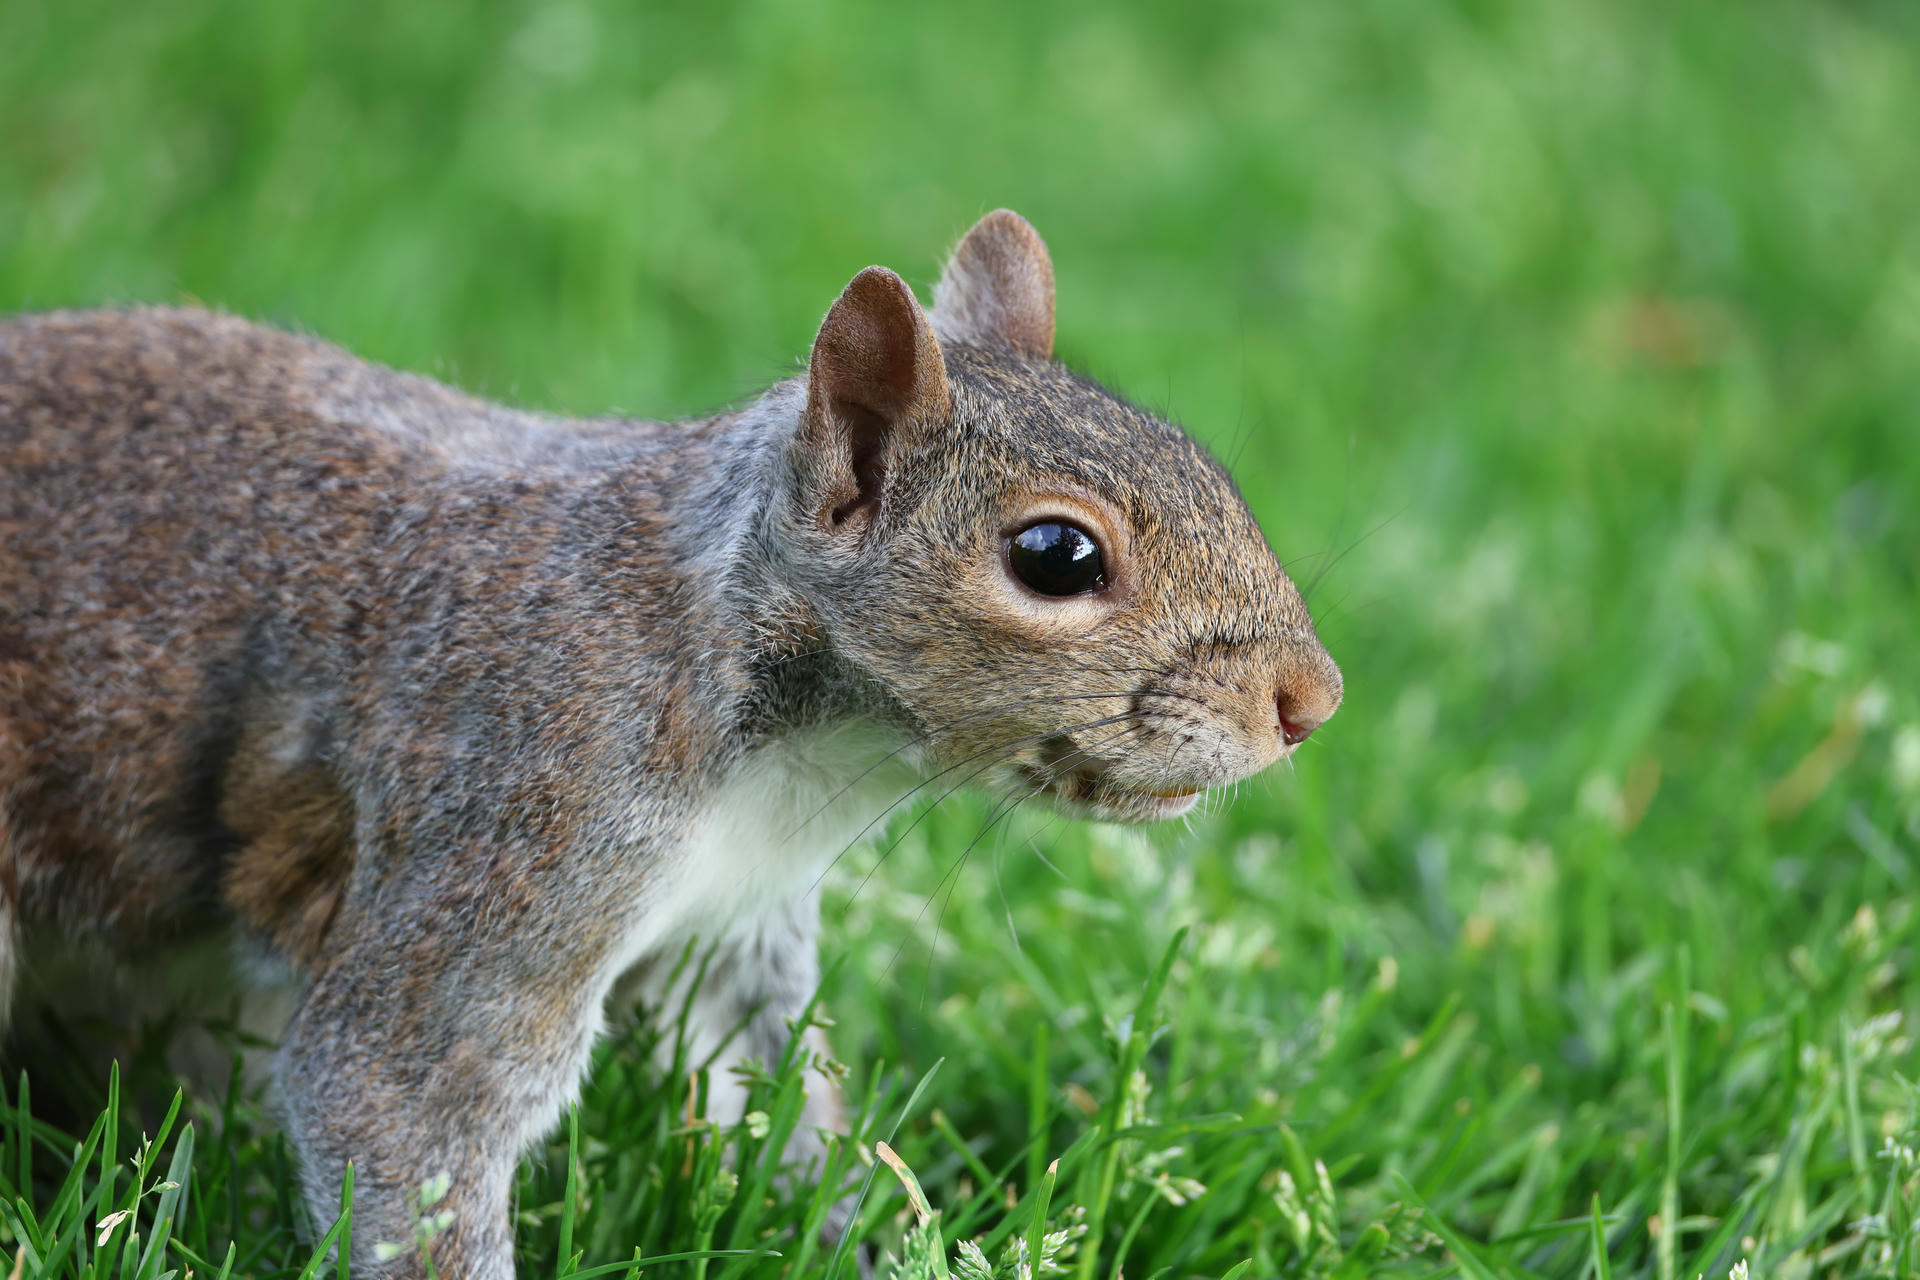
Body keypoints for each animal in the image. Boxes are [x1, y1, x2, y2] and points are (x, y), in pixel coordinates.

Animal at [0, 210, 1343, 1276]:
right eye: (1055, 555)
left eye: (1205, 463)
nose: (1311, 701)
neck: (797, 757)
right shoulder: (509, 834)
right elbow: (393, 1100)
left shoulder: (729, 942)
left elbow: (772, 1111)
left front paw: (864, 1242)